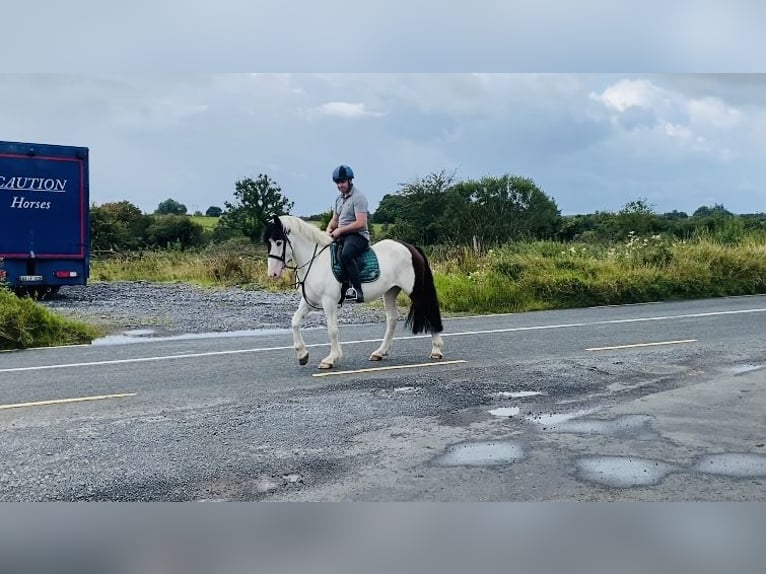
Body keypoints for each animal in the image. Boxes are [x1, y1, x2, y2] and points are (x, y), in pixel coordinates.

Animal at [262, 214, 444, 372]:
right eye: (268, 243)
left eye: (279, 241)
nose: (272, 274)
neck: (316, 261)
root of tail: (410, 247)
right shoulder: (308, 302)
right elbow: (294, 322)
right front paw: (302, 355)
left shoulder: (329, 301)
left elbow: (332, 329)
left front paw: (331, 359)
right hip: (390, 291)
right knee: (392, 319)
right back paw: (380, 352)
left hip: (415, 290)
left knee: (429, 311)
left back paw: (436, 350)